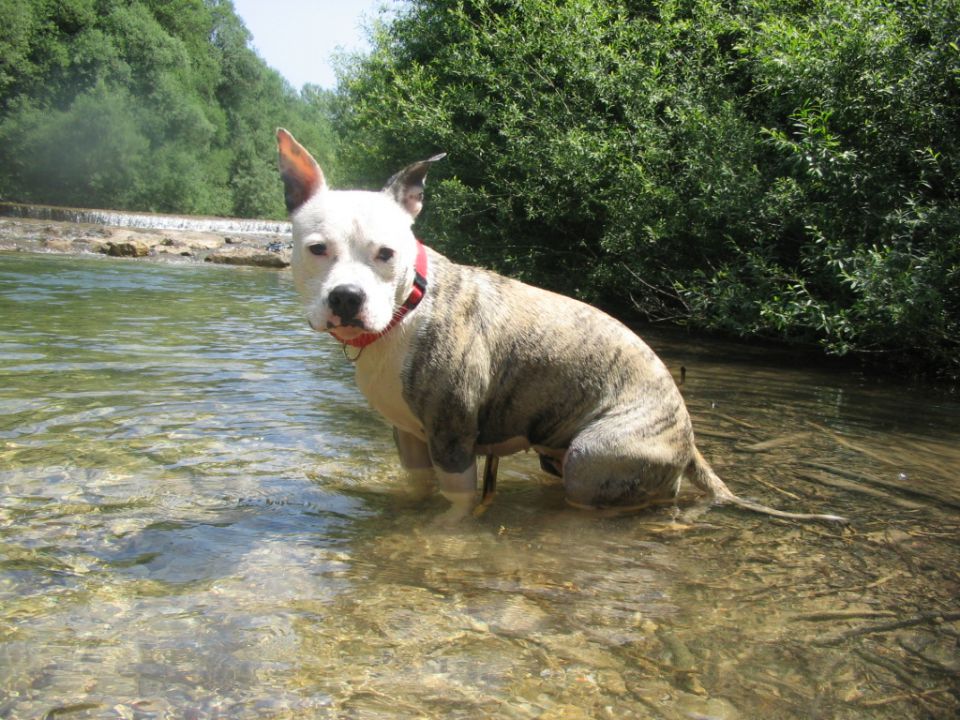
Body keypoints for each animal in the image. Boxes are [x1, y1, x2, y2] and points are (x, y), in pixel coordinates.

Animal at [274, 128, 844, 524]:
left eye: (386, 253)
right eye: (317, 249)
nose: (347, 297)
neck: (405, 311)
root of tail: (685, 431)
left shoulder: (453, 439)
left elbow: (456, 504)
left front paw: (442, 532)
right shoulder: (410, 438)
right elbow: (415, 487)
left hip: (595, 457)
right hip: (558, 451)